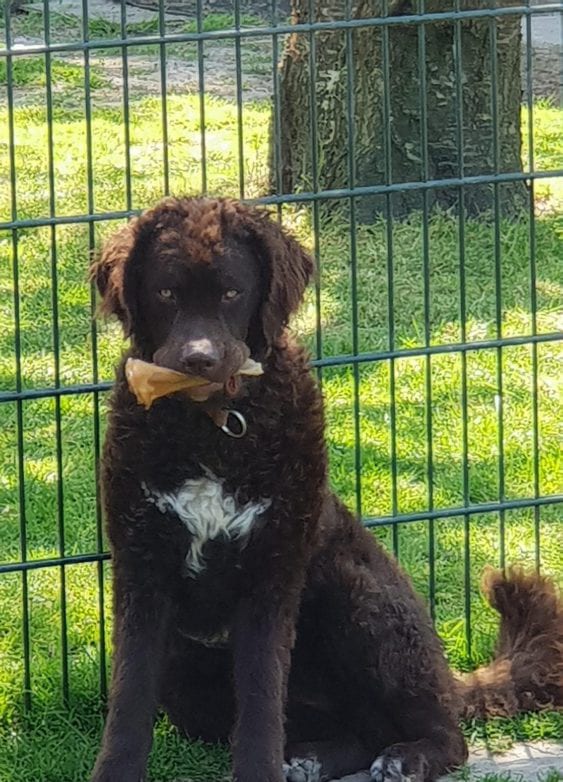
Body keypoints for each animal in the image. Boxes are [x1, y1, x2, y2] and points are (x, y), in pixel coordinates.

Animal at [90, 196, 562, 782]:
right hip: (190, 681)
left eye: (231, 292)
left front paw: (259, 771)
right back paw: (311, 758)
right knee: (356, 732)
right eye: (166, 293)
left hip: (359, 594)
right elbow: (130, 701)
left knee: (444, 734)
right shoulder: (142, 572)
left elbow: (261, 699)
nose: (199, 359)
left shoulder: (271, 573)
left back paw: (406, 758)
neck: (212, 430)